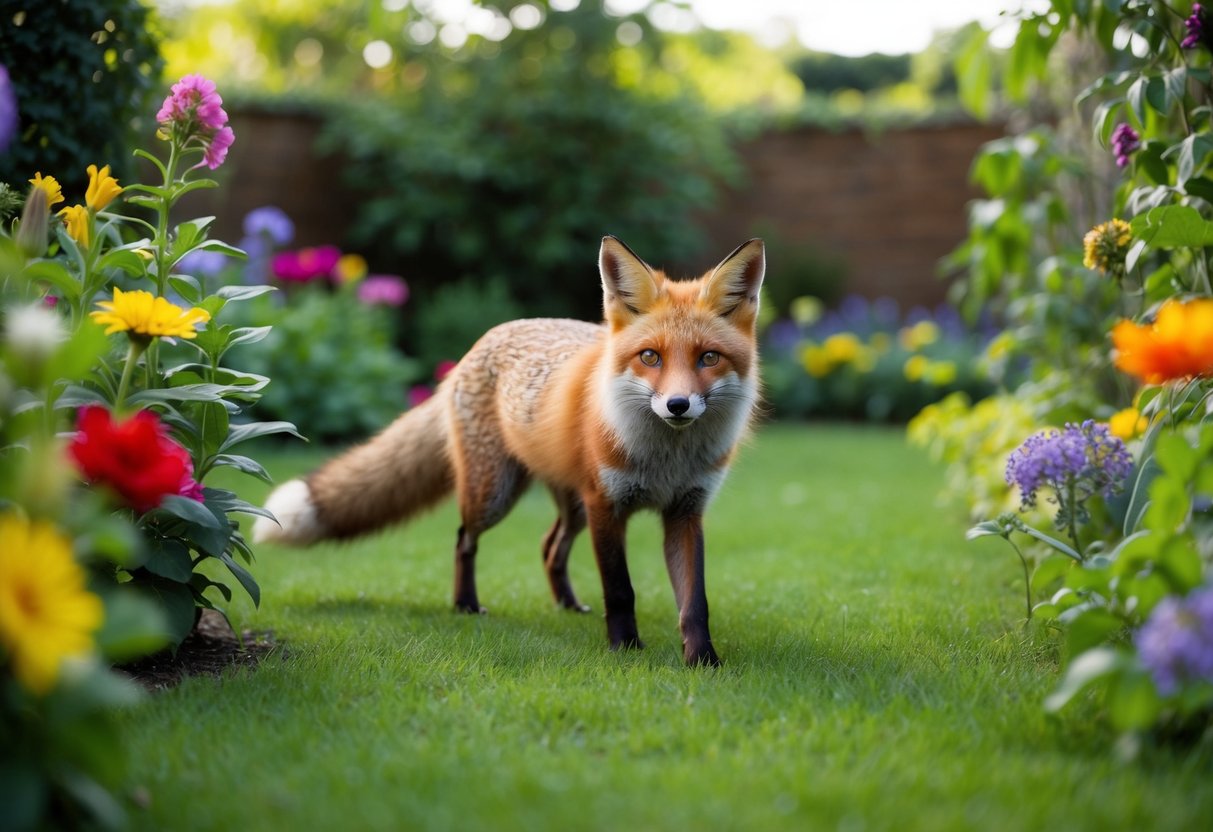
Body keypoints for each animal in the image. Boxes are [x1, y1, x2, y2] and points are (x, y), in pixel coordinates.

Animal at [253, 235, 765, 666]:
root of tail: (479, 344)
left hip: (572, 504)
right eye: (650, 357)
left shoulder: (684, 511)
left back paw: (567, 605)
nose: (677, 405)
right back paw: (466, 604)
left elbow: (694, 601)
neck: (666, 460)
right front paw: (625, 649)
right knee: (464, 538)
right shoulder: (607, 505)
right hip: (495, 494)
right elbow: (620, 590)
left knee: (549, 546)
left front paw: (703, 660)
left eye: (708, 358)